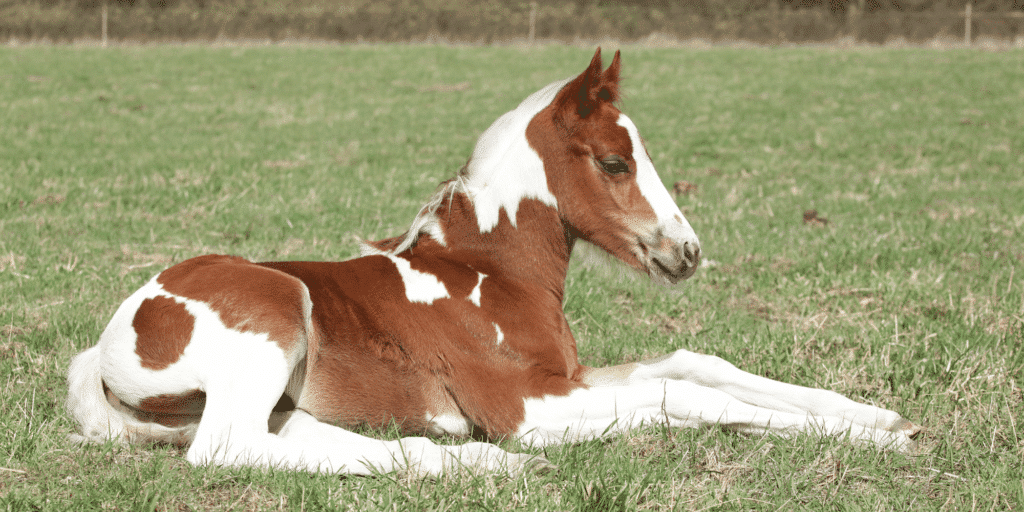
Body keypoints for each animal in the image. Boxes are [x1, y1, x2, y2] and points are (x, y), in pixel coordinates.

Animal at [68, 48, 925, 475]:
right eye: (615, 161)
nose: (686, 253)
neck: (488, 276)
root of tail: (107, 341)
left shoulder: (567, 379)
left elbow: (693, 364)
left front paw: (879, 418)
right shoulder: (525, 405)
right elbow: (682, 395)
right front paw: (879, 443)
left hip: (281, 395)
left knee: (309, 441)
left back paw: (478, 466)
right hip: (275, 314)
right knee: (228, 449)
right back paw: (494, 465)